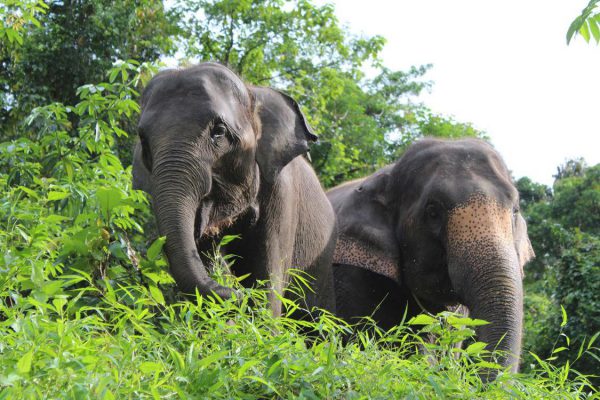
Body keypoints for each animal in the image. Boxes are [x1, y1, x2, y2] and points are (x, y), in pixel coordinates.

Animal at [132, 63, 338, 316]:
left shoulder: (282, 193)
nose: (237, 294)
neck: (253, 93)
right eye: (143, 140)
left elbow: (268, 280)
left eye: (219, 131)